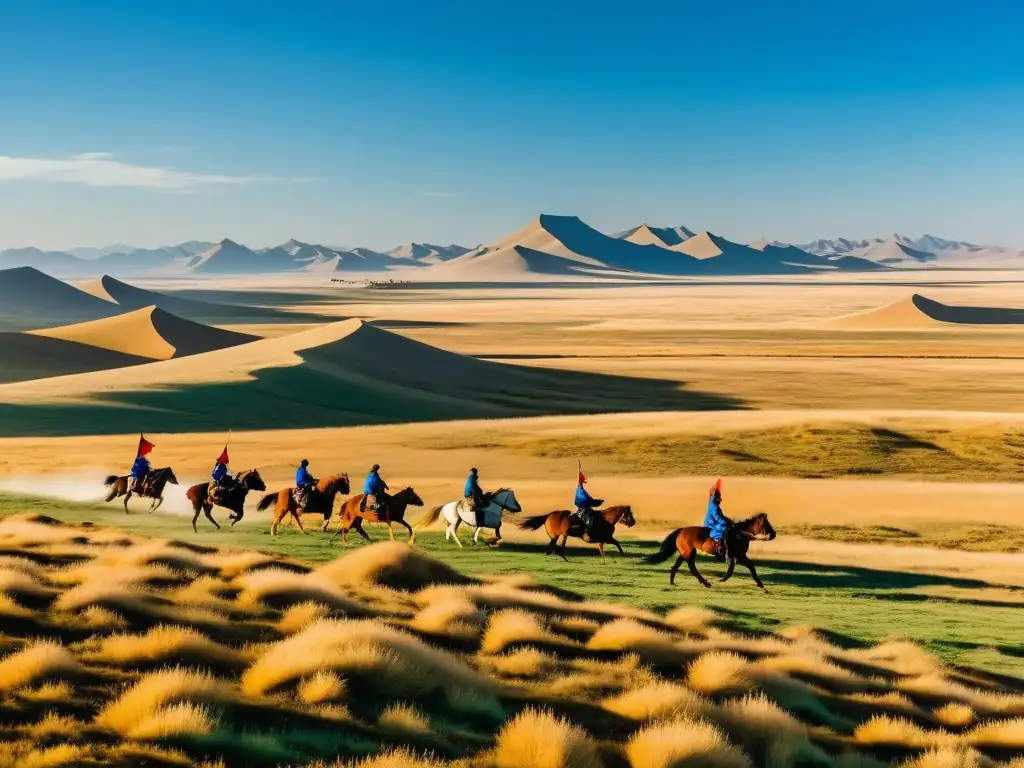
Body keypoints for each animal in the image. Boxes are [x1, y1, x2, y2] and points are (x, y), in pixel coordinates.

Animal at [643, 514, 778, 593]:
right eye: (765, 524)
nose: (773, 534)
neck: (739, 534)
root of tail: (681, 531)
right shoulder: (739, 556)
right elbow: (750, 566)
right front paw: (760, 584)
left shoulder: (736, 556)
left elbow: (734, 569)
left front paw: (723, 579)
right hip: (690, 553)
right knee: (692, 567)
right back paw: (706, 583)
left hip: (684, 553)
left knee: (676, 567)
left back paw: (672, 582)